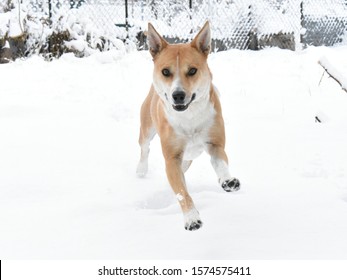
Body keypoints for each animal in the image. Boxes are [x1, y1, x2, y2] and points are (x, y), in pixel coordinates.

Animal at [137, 21, 241, 231]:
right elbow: (182, 193)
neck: (189, 117)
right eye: (165, 72)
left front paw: (227, 180)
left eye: (192, 70)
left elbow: (221, 163)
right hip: (146, 127)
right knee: (144, 147)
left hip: (189, 157)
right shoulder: (172, 158)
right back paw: (141, 170)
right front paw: (192, 218)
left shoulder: (214, 143)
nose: (178, 95)